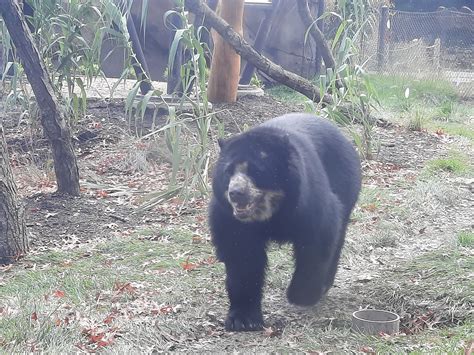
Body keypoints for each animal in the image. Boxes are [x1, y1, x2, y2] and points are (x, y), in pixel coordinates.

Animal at [209, 112, 362, 332]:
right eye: (228, 172)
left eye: (256, 171)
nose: (235, 193)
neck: (270, 211)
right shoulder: (230, 219)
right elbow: (242, 258)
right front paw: (243, 319)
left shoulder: (308, 201)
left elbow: (317, 240)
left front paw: (301, 295)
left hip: (345, 184)